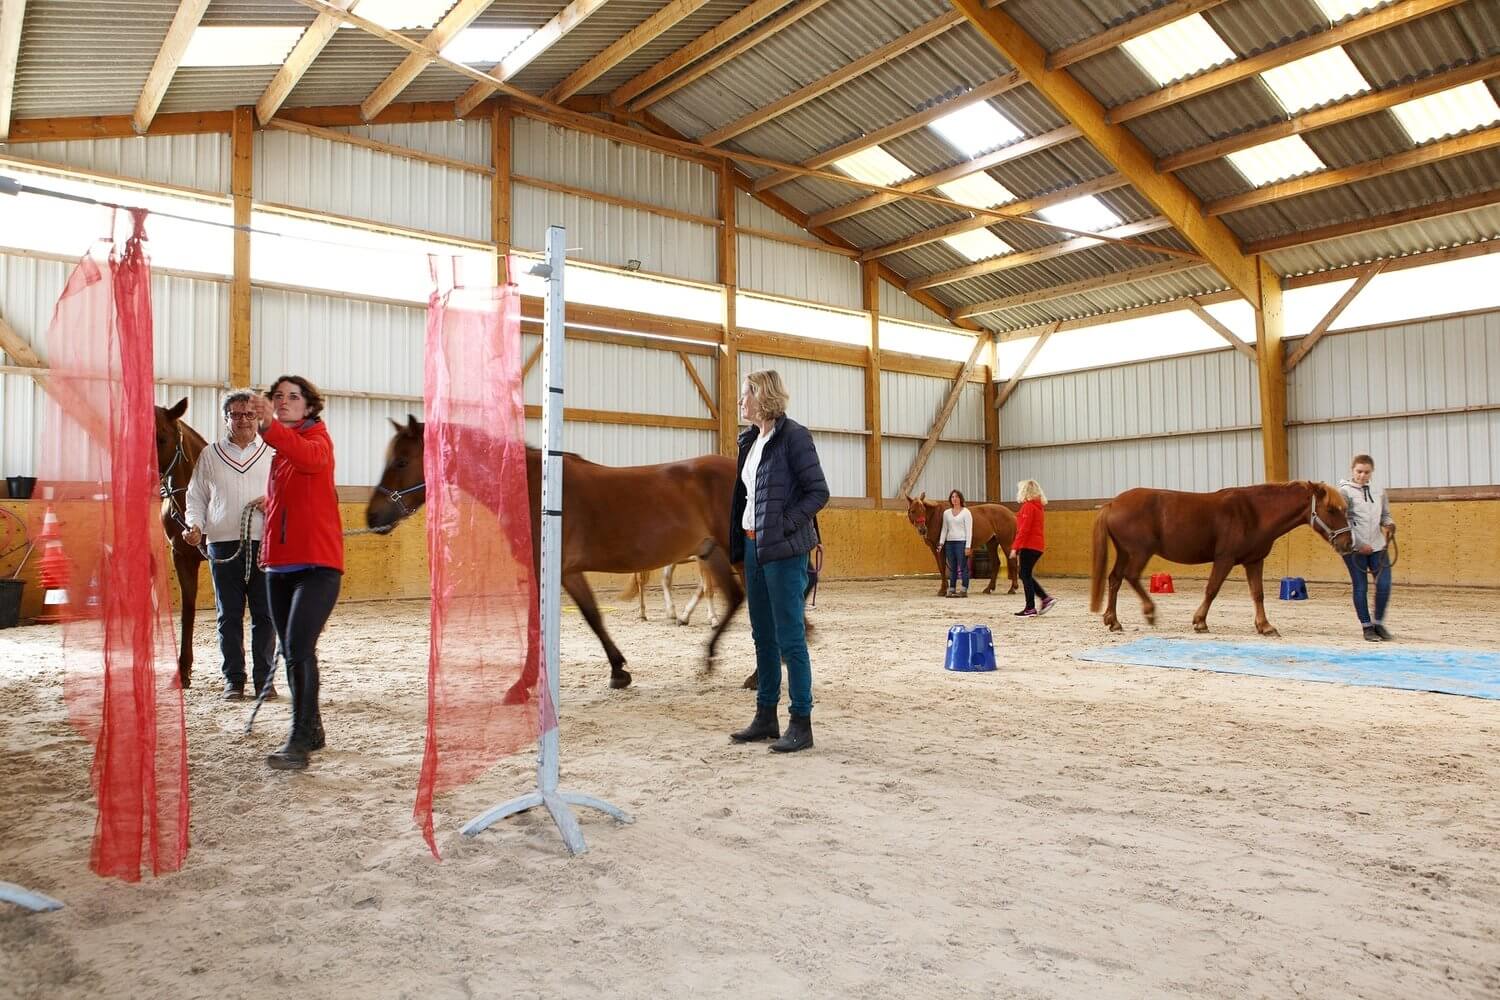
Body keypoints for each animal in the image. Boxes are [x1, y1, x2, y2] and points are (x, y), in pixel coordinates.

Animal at [363, 419, 738, 692]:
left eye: (401, 461)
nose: (372, 517)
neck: (535, 486)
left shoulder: (543, 570)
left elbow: (535, 625)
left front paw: (521, 685)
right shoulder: (568, 573)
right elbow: (593, 616)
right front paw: (618, 671)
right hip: (712, 554)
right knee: (735, 597)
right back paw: (713, 660)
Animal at [1092, 482, 1362, 638]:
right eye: (1331, 510)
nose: (1348, 544)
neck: (1253, 512)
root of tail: (1112, 504)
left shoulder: (1254, 561)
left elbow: (1258, 594)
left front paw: (1265, 626)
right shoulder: (1225, 559)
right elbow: (1212, 589)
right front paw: (1200, 622)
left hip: (1125, 552)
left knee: (1115, 579)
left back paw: (1113, 621)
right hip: (1140, 552)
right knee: (1130, 577)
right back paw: (1149, 612)